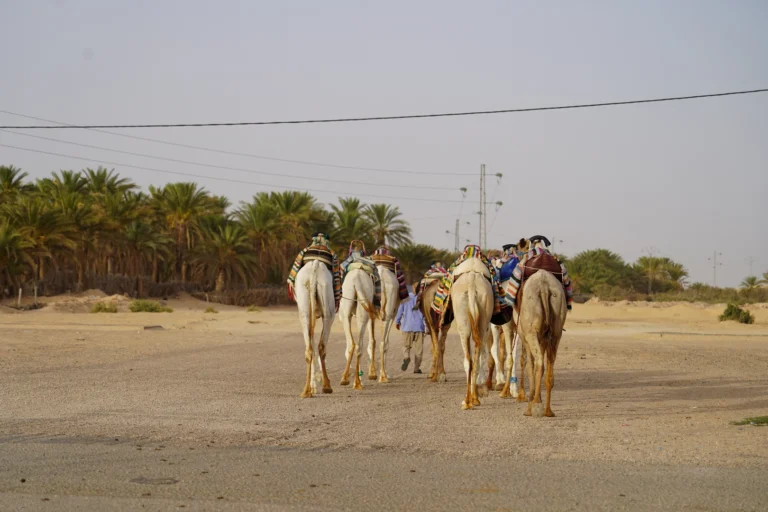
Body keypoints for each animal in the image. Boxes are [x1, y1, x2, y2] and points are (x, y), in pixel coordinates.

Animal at [292, 260, 334, 400]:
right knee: (321, 346)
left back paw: (306, 391)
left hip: (304, 302)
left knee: (310, 348)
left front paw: (314, 385)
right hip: (328, 304)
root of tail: (314, 266)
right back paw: (327, 386)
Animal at [448, 258, 496, 410]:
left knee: (468, 360)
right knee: (475, 359)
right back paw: (473, 399)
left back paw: (467, 401)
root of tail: (471, 284)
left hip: (463, 322)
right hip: (483, 314)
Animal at [512, 270, 568, 418]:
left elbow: (528, 365)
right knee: (549, 367)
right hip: (557, 330)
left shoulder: (526, 338)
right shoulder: (542, 340)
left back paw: (535, 405)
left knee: (538, 364)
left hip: (531, 330)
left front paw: (529, 405)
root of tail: (544, 286)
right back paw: (548, 411)